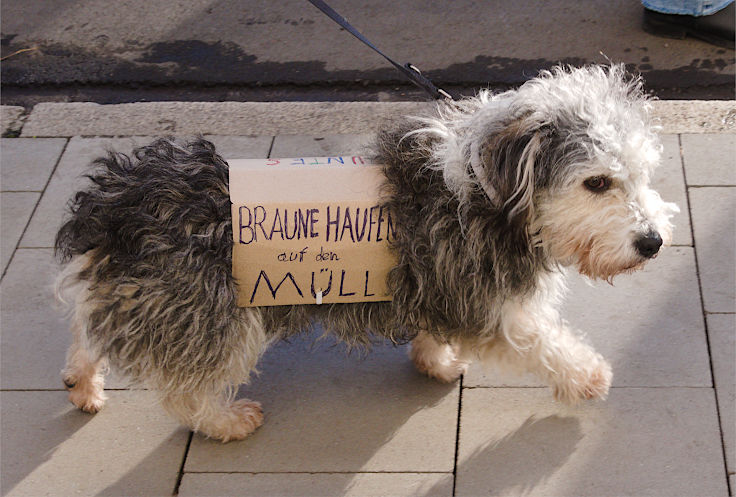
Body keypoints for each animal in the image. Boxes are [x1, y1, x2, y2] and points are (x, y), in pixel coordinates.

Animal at [56, 65, 680, 438]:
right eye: (597, 182)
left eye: (642, 173)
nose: (652, 243)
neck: (486, 191)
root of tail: (116, 203)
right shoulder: (489, 304)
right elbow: (541, 340)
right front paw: (588, 376)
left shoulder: (436, 283)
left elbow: (434, 330)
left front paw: (435, 361)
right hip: (217, 316)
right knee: (184, 391)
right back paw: (226, 420)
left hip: (136, 295)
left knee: (88, 328)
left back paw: (84, 384)